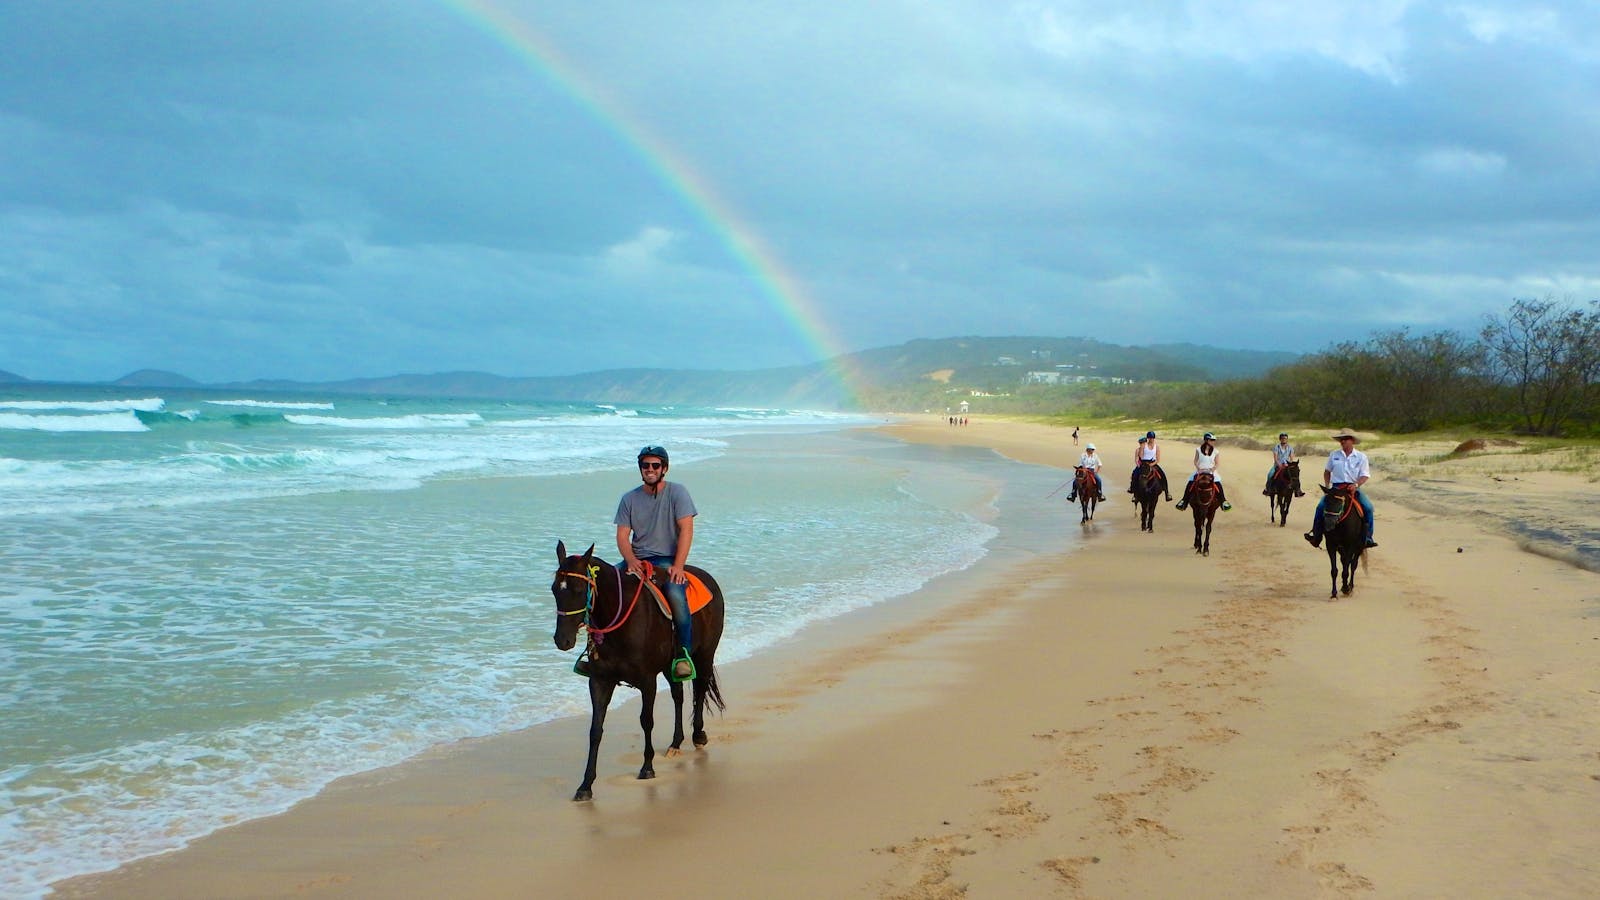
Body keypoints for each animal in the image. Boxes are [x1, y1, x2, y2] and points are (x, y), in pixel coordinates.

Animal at [550, 538, 726, 797]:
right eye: (554, 589)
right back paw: (676, 742)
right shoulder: (600, 681)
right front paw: (586, 785)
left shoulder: (647, 680)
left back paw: (698, 735)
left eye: (579, 590)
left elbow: (646, 720)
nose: (562, 640)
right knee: (678, 695)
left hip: (705, 654)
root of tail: (708, 578)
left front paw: (647, 767)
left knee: (700, 689)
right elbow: (595, 729)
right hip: (670, 666)